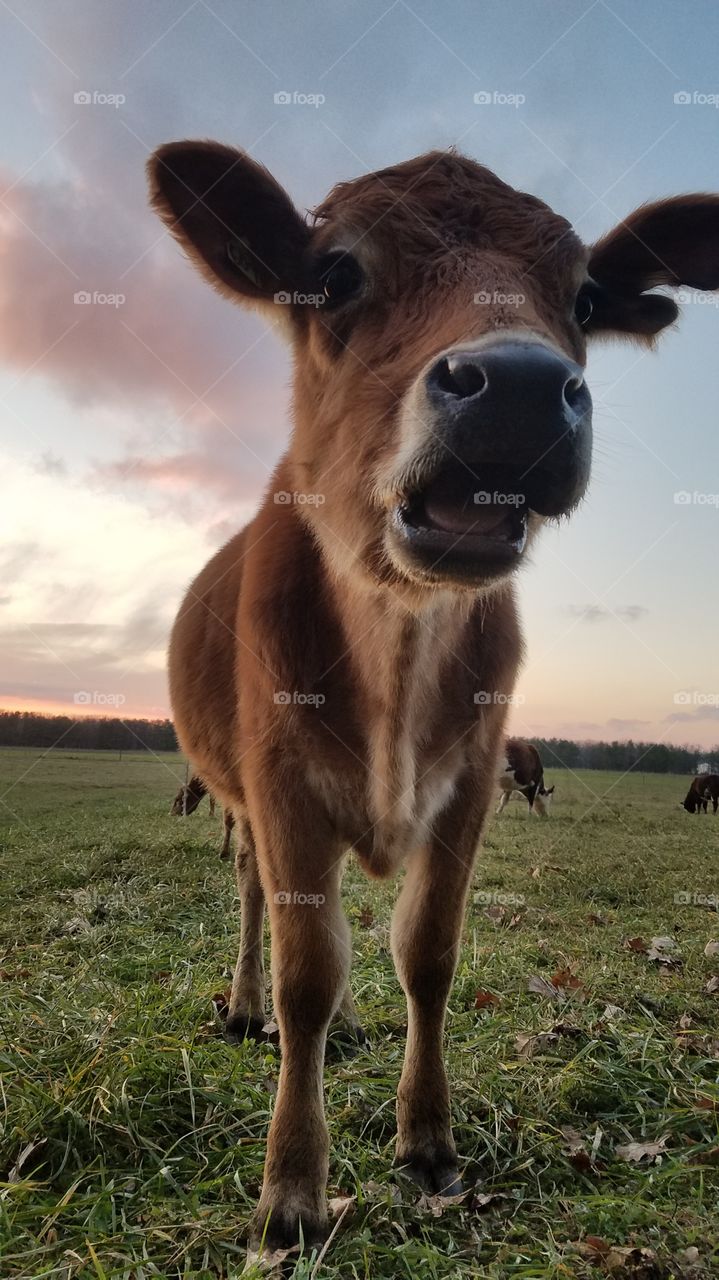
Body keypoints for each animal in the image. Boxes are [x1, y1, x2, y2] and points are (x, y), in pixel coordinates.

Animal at [148, 139, 719, 1248]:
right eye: (334, 273)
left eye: (584, 297)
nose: (520, 391)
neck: (399, 639)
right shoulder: (280, 787)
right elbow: (306, 970)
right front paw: (291, 1189)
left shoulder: (468, 787)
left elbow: (427, 954)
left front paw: (426, 1141)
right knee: (255, 901)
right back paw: (245, 1007)